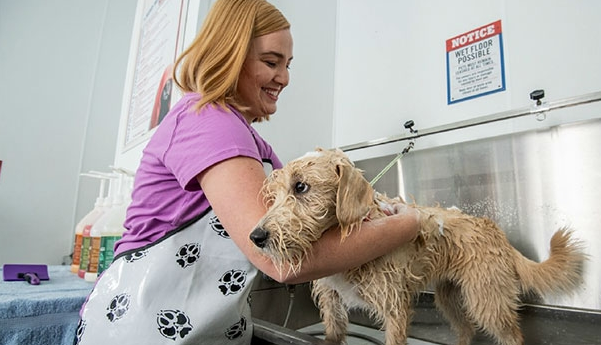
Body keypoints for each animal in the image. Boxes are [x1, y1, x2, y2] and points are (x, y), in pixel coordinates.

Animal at [250, 147, 584, 344]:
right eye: (273, 195)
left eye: (301, 187)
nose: (256, 237)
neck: (349, 237)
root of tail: (493, 228)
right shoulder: (332, 305)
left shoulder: (394, 309)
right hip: (449, 298)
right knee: (466, 329)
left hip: (487, 300)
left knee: (510, 334)